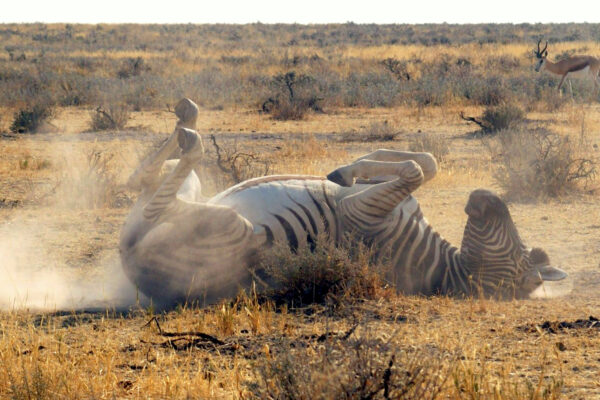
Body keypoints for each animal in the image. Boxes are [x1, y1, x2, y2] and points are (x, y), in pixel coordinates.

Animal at [120, 98, 568, 304]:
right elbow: (426, 162)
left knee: (158, 199)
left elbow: (415, 169)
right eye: (524, 249)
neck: (446, 267)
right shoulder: (381, 198)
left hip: (230, 228)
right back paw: (186, 121)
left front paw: (345, 174)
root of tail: (136, 272)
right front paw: (344, 171)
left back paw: (191, 134)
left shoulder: (361, 214)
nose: (484, 195)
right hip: (195, 193)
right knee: (146, 183)